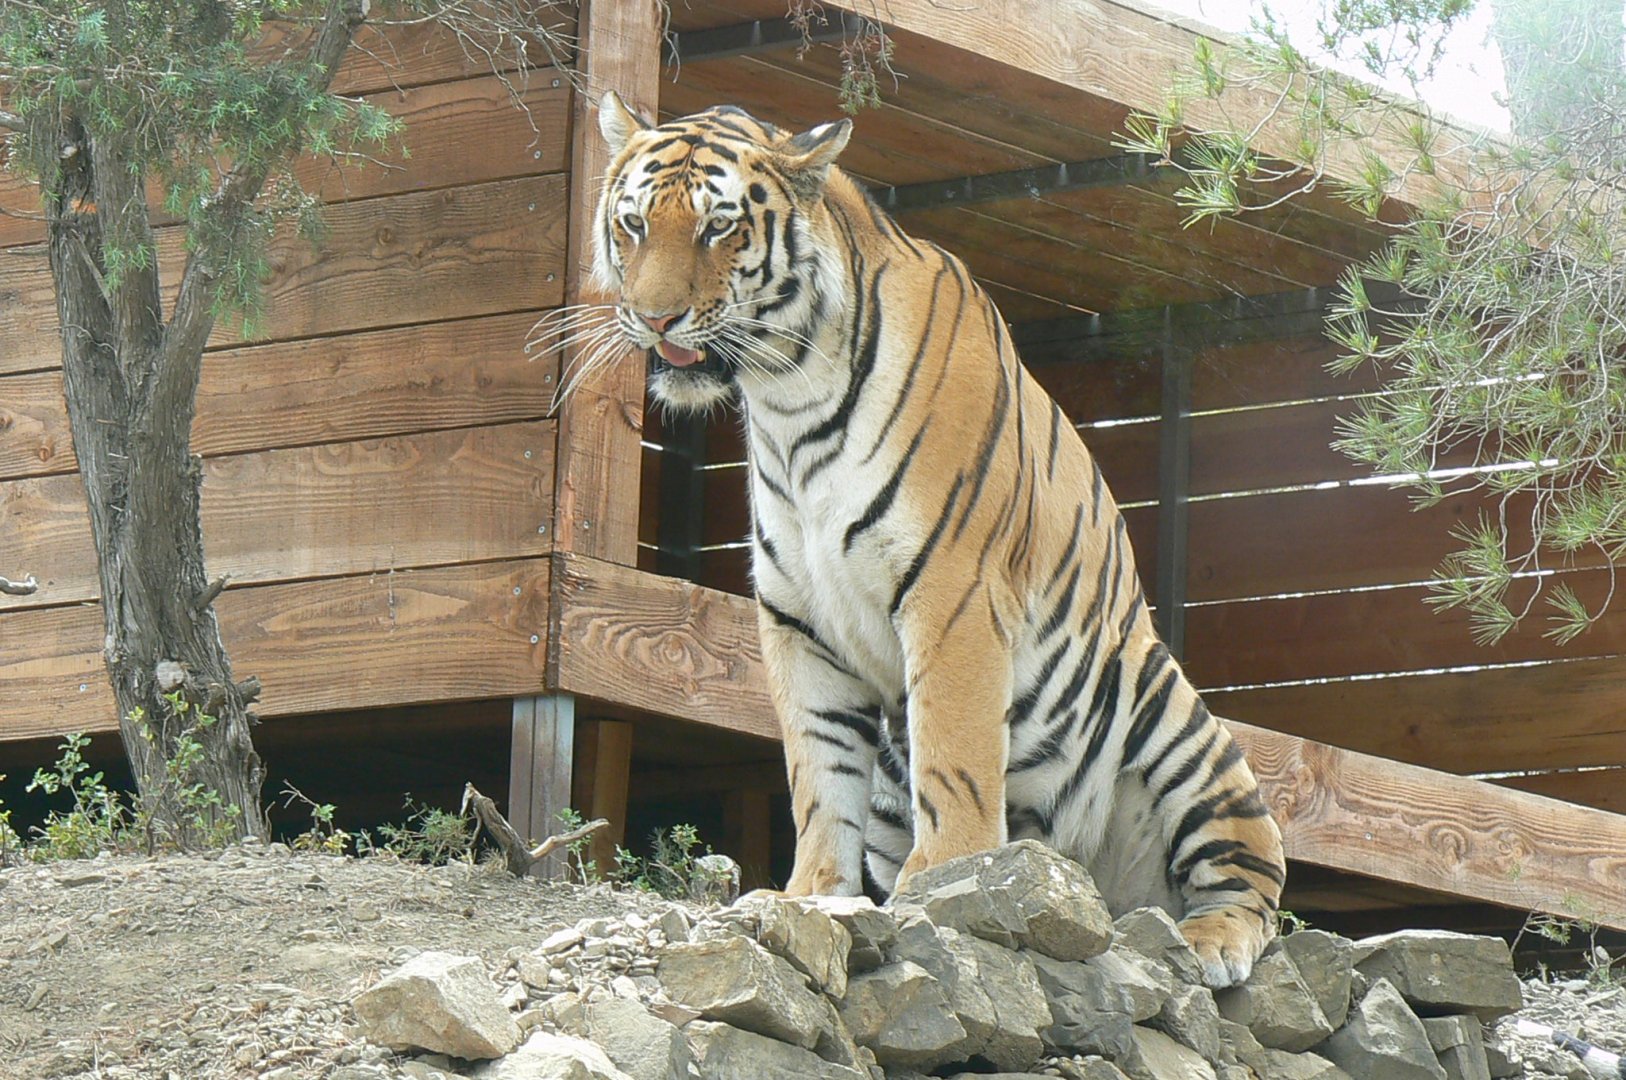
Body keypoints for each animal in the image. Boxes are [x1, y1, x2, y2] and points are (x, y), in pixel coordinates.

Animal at [587, 90, 1287, 988]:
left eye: (717, 228)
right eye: (634, 224)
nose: (653, 318)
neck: (787, 398)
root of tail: (1096, 887)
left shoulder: (952, 590)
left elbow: (952, 747)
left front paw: (949, 875)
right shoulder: (797, 619)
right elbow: (818, 772)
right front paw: (810, 895)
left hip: (1170, 719)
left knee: (1252, 872)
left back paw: (1208, 943)